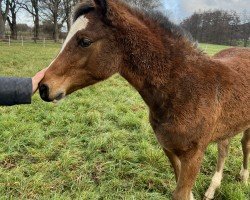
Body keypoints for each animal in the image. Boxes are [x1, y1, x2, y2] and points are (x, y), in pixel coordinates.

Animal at [39, 0, 250, 199]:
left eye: (84, 41)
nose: (43, 87)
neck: (183, 88)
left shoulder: (194, 155)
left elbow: (180, 193)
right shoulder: (169, 148)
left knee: (244, 144)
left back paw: (244, 178)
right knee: (224, 149)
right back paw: (212, 189)